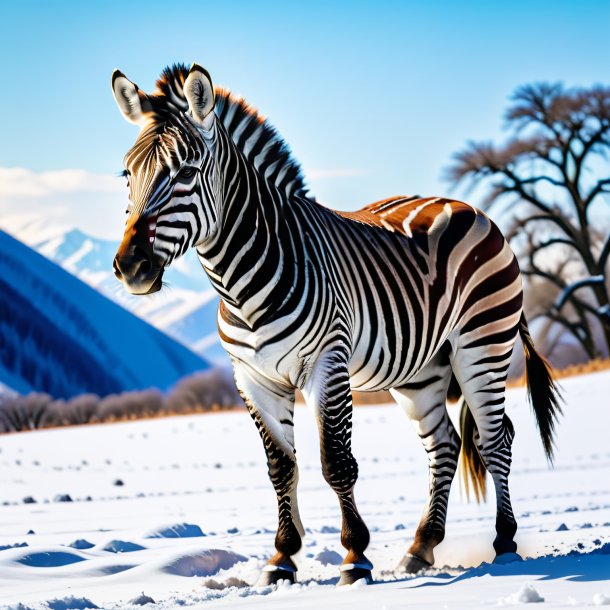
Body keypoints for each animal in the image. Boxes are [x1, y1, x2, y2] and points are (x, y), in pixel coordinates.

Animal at [110, 61, 560, 584]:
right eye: (127, 173)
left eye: (185, 171)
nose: (131, 267)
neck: (239, 285)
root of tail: (464, 205)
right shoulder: (253, 378)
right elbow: (281, 468)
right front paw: (282, 559)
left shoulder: (328, 362)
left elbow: (336, 463)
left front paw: (355, 556)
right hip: (421, 368)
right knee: (445, 445)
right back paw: (422, 546)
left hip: (483, 342)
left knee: (495, 440)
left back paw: (504, 541)